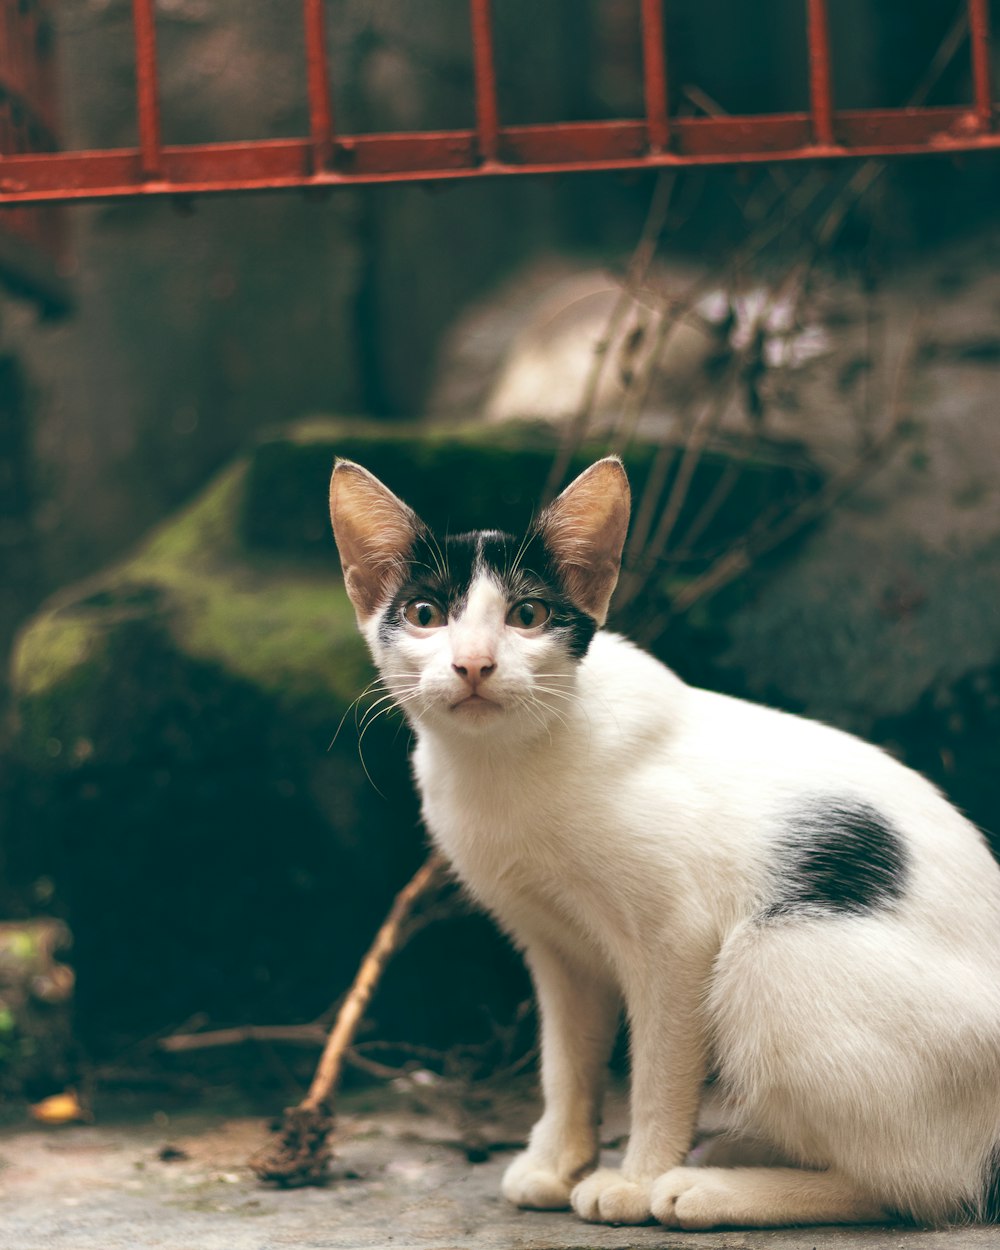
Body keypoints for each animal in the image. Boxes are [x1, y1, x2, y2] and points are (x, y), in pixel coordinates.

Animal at [327, 455, 1000, 1225]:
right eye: (425, 616)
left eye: (528, 616)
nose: (473, 664)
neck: (503, 767)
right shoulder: (556, 949)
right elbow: (566, 1062)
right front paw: (555, 1162)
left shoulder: (679, 939)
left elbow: (659, 1072)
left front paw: (636, 1179)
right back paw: (741, 1150)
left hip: (770, 954)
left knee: (925, 1184)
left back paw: (709, 1188)